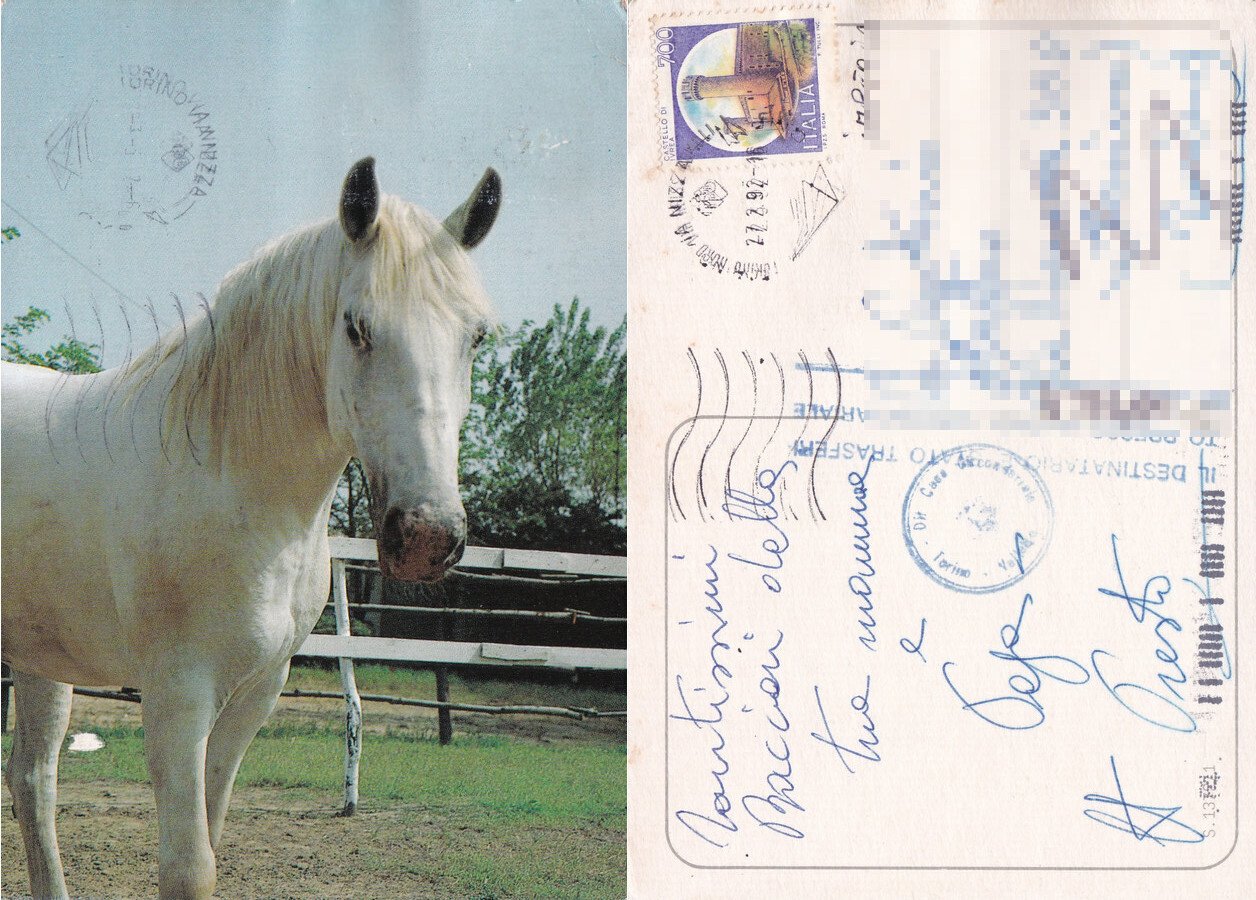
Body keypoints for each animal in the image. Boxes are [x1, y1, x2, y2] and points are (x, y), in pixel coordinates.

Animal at [1, 156, 501, 899]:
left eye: (476, 336)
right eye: (355, 327)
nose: (427, 535)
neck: (232, 476)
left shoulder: (255, 694)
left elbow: (210, 835)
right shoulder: (178, 696)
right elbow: (189, 866)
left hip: (41, 656)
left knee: (33, 780)